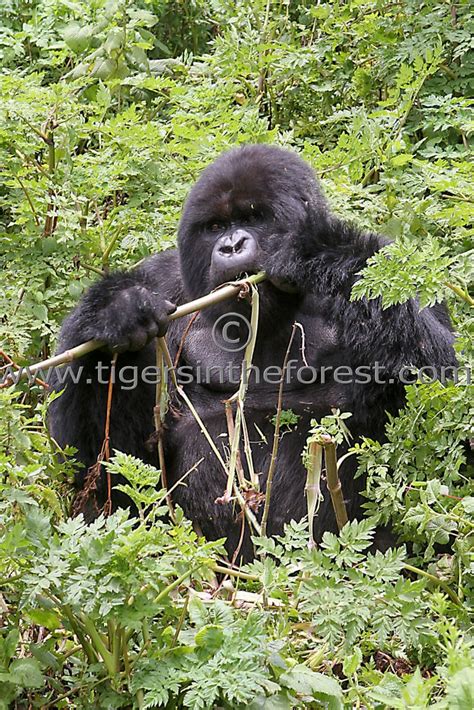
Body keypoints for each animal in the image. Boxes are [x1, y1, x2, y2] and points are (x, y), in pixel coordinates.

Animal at [50, 145, 458, 560]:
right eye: (215, 227)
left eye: (253, 217)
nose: (230, 246)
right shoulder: (159, 280)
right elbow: (105, 469)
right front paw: (115, 312)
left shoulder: (388, 262)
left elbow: (435, 387)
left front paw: (313, 252)